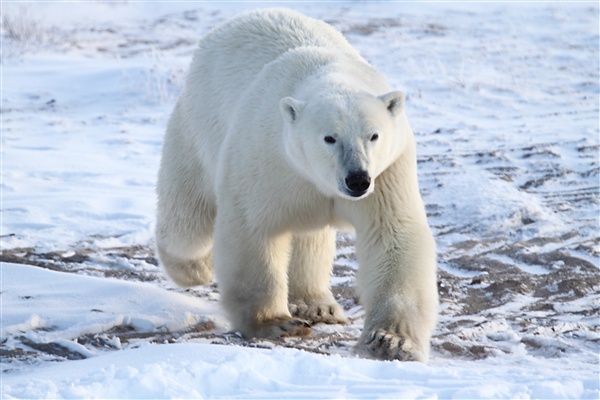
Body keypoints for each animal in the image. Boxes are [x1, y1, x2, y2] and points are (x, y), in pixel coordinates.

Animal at [155, 7, 436, 360]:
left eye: (373, 135)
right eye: (330, 137)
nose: (357, 179)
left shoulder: (388, 173)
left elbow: (392, 236)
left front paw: (390, 340)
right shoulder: (268, 157)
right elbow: (252, 228)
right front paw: (275, 323)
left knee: (310, 238)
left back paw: (317, 305)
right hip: (199, 125)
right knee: (187, 218)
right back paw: (194, 266)